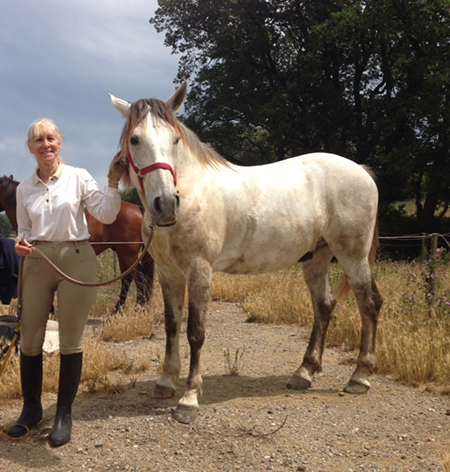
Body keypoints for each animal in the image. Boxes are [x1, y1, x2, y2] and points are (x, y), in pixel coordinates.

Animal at [0, 175, 153, 312]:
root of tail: (138, 208)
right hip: (122, 253)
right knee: (128, 278)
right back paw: (118, 309)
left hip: (127, 253)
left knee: (139, 278)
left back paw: (139, 308)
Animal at [110, 82, 384, 424]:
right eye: (135, 139)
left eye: (174, 139)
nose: (167, 204)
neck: (191, 191)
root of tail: (360, 169)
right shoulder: (168, 272)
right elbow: (172, 325)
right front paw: (165, 382)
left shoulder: (199, 270)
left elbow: (195, 331)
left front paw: (189, 398)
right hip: (317, 259)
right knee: (324, 306)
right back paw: (304, 373)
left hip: (352, 256)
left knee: (369, 304)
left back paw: (360, 376)